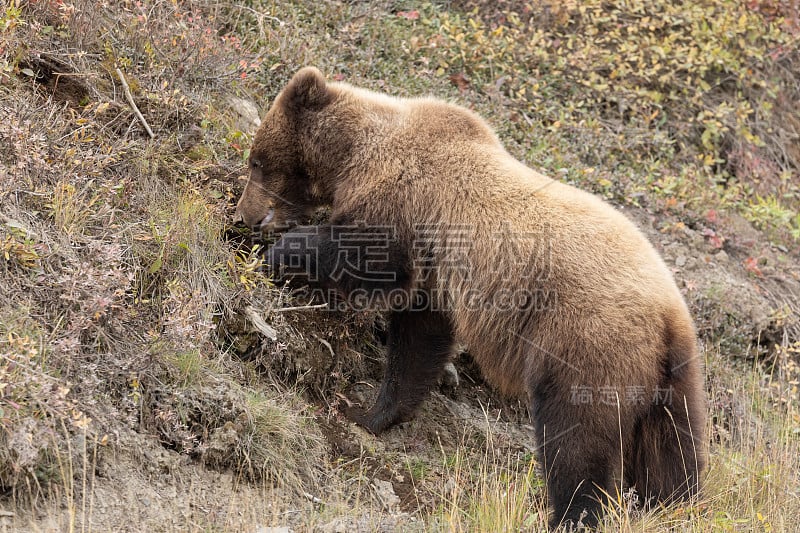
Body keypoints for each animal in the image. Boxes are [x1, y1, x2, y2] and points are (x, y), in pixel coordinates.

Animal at [236, 67, 708, 528]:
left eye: (257, 161)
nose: (246, 216)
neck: (355, 155)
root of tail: (667, 316)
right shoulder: (436, 273)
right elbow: (419, 340)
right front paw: (372, 414)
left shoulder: (405, 200)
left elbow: (369, 263)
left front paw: (282, 254)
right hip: (674, 376)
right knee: (673, 448)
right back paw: (672, 506)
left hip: (583, 343)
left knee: (575, 437)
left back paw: (572, 514)